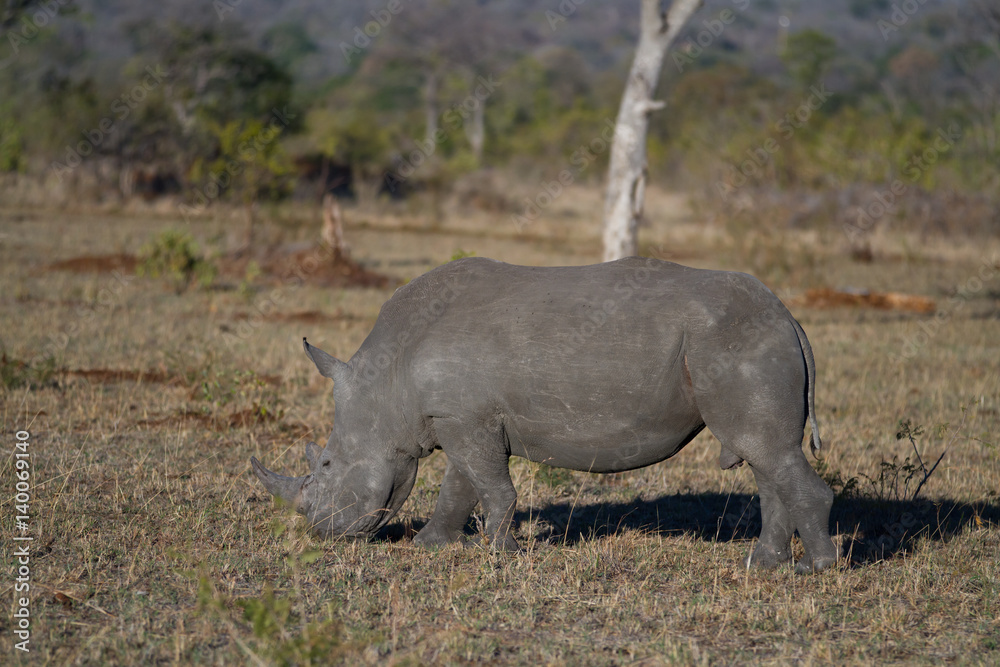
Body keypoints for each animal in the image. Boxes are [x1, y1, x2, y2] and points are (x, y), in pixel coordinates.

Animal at [251, 257, 838, 573]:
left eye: (327, 465)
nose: (320, 532)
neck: (385, 382)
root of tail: (787, 314)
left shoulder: (465, 420)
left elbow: (491, 486)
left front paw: (502, 554)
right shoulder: (460, 417)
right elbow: (460, 486)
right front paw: (432, 545)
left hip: (736, 343)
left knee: (766, 451)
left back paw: (814, 569)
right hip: (741, 341)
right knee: (766, 457)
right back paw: (763, 564)